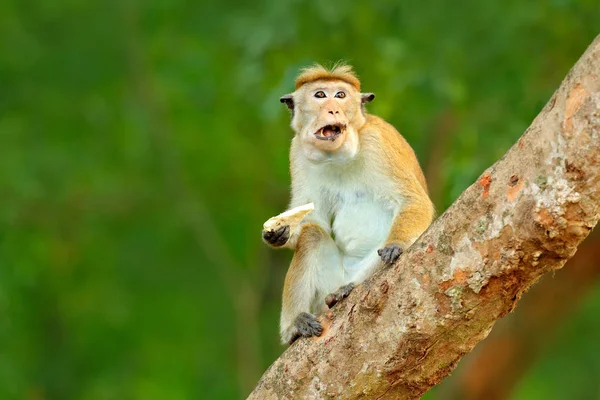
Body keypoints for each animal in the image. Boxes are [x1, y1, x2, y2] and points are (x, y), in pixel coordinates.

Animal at [264, 63, 434, 344]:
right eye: (320, 95)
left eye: (341, 95)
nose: (333, 109)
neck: (337, 155)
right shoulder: (297, 151)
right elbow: (313, 219)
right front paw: (280, 232)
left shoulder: (378, 141)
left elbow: (414, 202)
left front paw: (396, 245)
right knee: (312, 237)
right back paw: (295, 325)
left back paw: (345, 290)